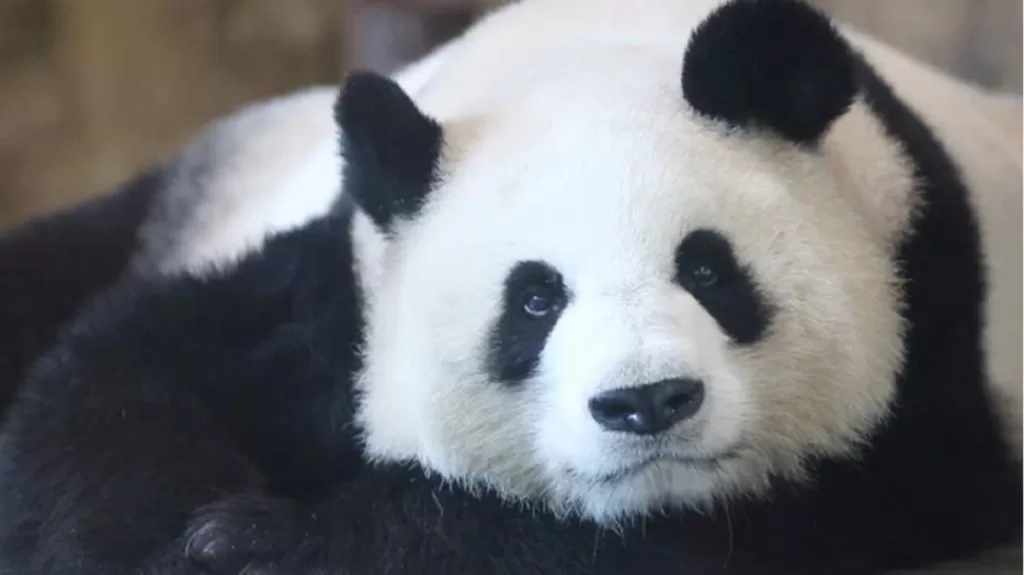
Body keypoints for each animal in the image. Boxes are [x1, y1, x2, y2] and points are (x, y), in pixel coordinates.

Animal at [0, 0, 1020, 574]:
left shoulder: (927, 320)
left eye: (707, 267)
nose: (648, 401)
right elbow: (124, 376)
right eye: (535, 300)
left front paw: (261, 543)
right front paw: (179, 537)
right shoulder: (342, 281)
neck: (595, 52)